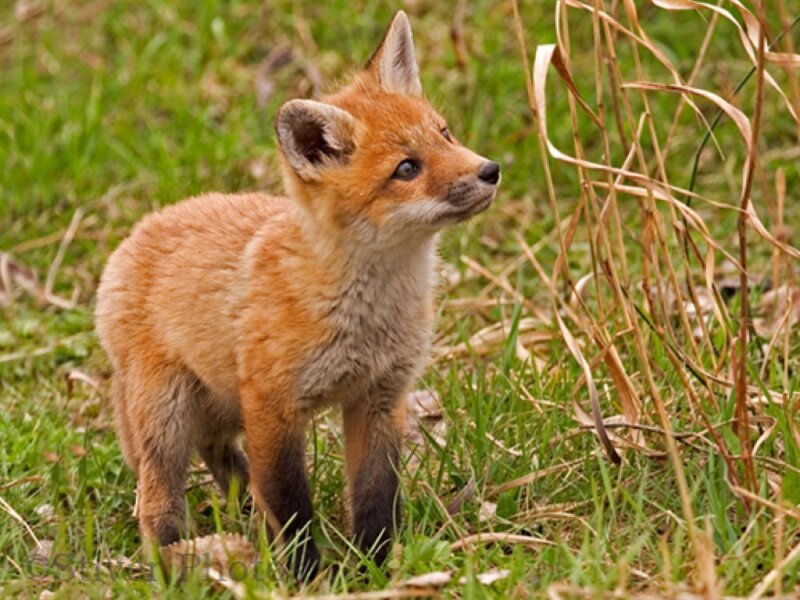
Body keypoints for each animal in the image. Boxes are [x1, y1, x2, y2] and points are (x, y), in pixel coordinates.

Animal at [95, 10, 500, 578]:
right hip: (167, 419)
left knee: (222, 457)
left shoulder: (380, 398)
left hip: (221, 407)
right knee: (155, 503)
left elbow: (375, 496)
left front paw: (375, 566)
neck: (367, 318)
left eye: (445, 133)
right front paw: (307, 574)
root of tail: (135, 234)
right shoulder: (273, 406)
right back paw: (176, 560)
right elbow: (290, 505)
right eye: (406, 169)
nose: (490, 170)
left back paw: (241, 513)